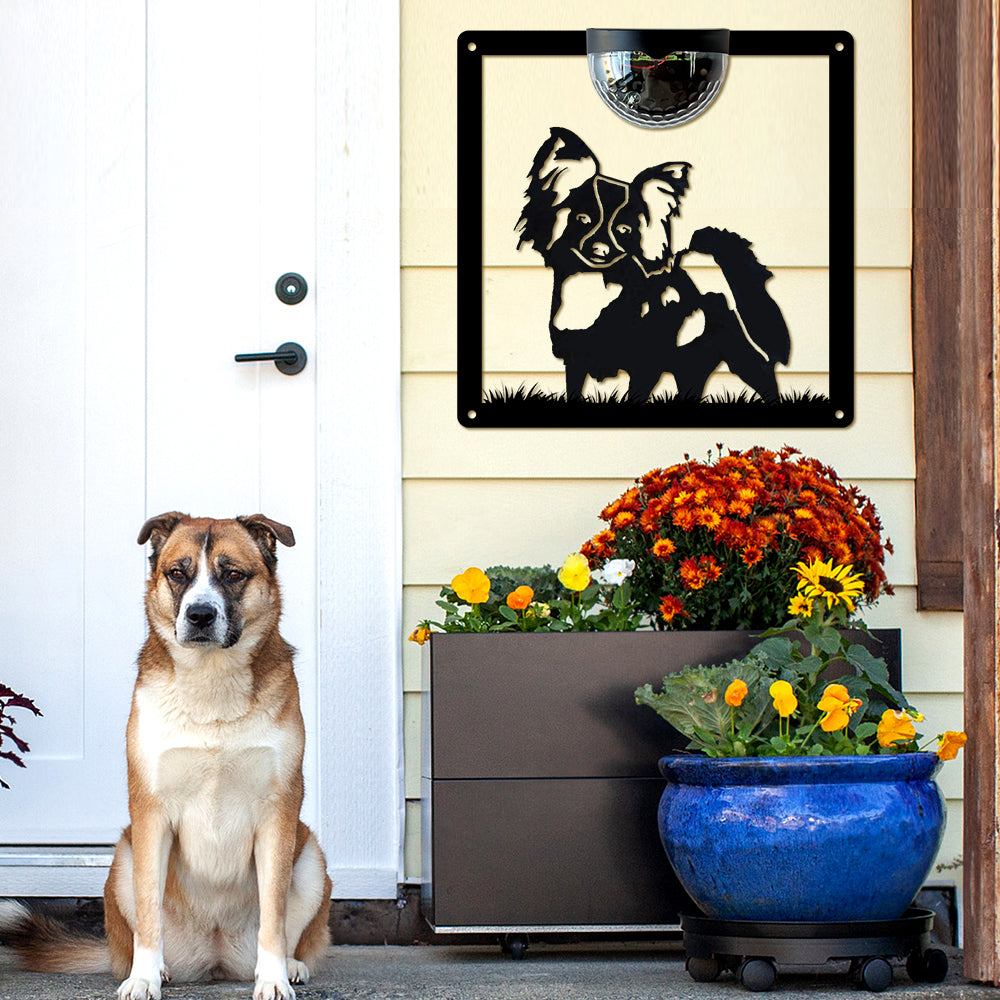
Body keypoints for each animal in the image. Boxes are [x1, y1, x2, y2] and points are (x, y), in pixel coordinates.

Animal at [1, 513, 331, 1000]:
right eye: (178, 572)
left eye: (233, 574)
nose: (200, 615)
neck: (212, 683)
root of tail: (215, 958)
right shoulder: (151, 814)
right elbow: (148, 912)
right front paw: (144, 979)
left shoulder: (278, 812)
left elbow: (274, 915)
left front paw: (272, 978)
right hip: (123, 857)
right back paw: (158, 969)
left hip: (311, 860)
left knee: (295, 933)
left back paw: (290, 966)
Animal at [516, 127, 790, 402]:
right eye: (583, 219)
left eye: (624, 230)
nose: (599, 249)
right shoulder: (575, 358)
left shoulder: (645, 366)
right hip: (690, 362)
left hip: (738, 353)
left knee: (765, 376)